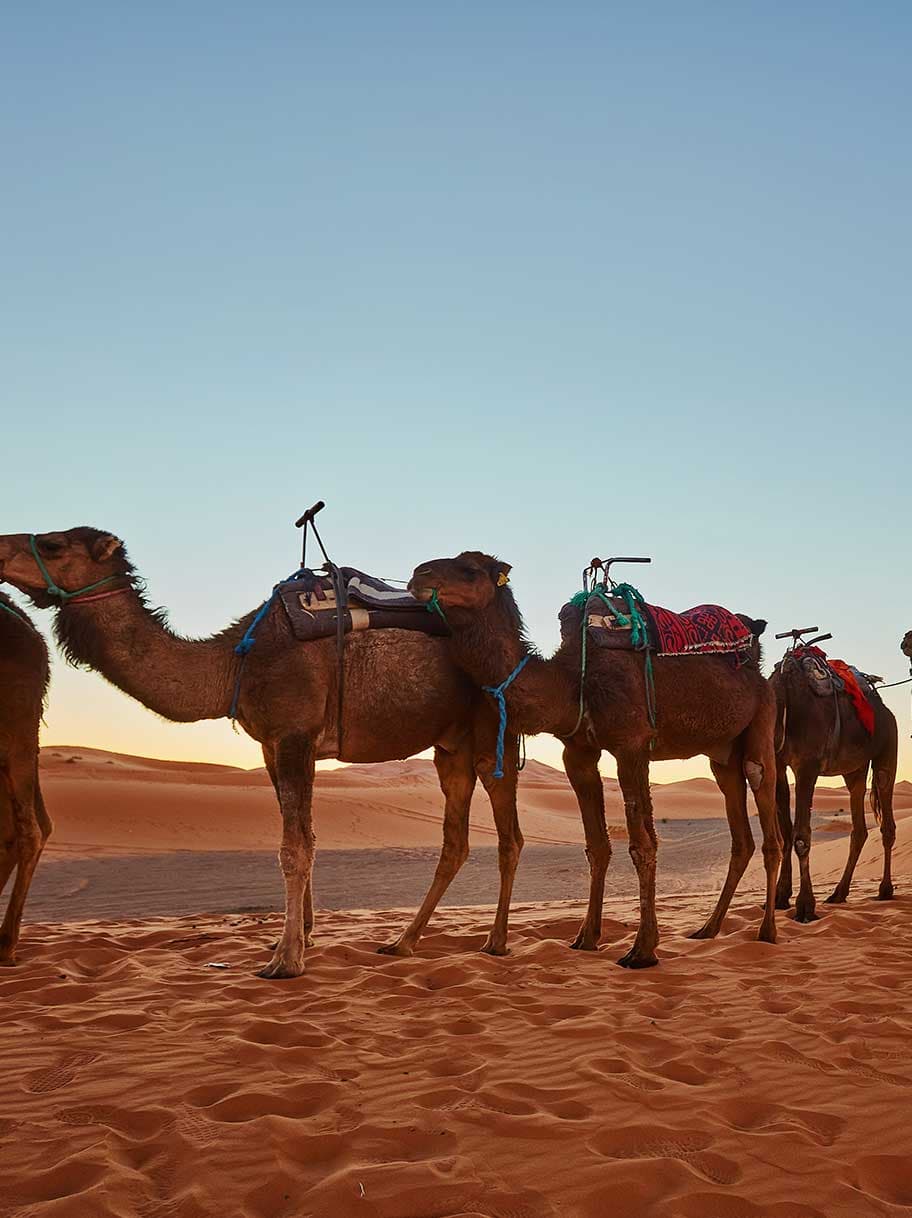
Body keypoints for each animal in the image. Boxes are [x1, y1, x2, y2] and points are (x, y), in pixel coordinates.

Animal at [0, 528, 523, 979]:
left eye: (53, 544)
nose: (1, 549)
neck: (235, 663)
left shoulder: (293, 732)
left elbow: (293, 848)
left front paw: (285, 960)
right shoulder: (274, 744)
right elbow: (305, 837)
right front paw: (300, 938)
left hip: (492, 730)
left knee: (508, 834)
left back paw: (495, 942)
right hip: (449, 746)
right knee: (455, 842)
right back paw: (403, 942)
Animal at [408, 552, 782, 968]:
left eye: (470, 571)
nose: (418, 575)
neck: (573, 682)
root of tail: (757, 665)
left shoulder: (632, 744)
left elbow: (642, 845)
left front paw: (642, 950)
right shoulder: (578, 752)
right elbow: (596, 845)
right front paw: (586, 937)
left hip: (761, 723)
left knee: (768, 816)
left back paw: (767, 931)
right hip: (723, 753)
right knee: (740, 836)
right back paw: (708, 929)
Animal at [771, 646, 898, 921]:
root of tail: (884, 710)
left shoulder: (807, 767)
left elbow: (801, 836)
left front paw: (805, 905)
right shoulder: (777, 765)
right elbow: (786, 832)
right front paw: (780, 896)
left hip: (887, 752)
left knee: (887, 822)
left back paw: (885, 889)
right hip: (854, 769)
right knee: (859, 827)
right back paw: (839, 893)